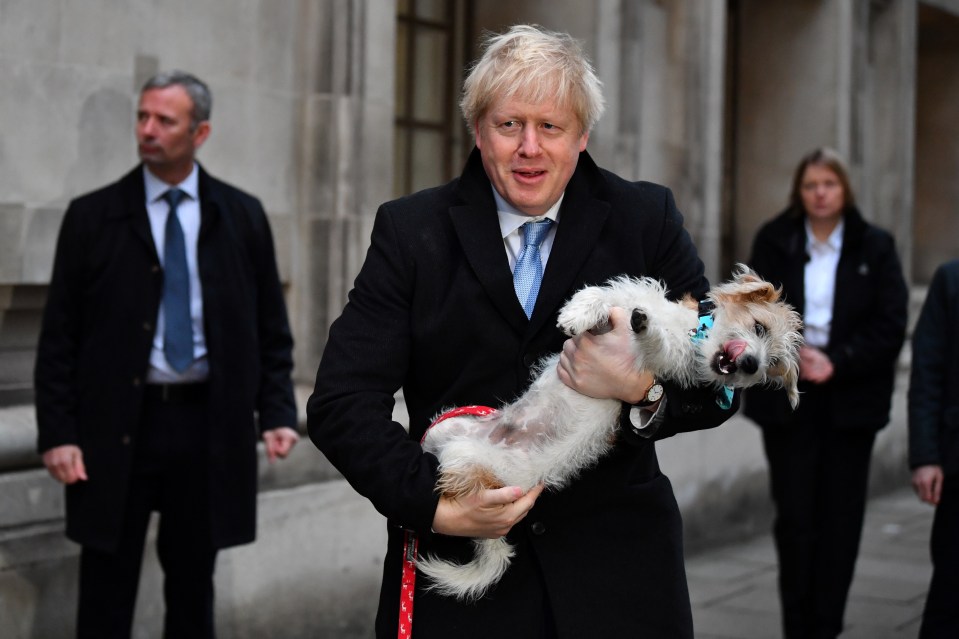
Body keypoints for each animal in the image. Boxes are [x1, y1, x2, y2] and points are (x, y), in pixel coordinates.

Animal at [420, 264, 804, 600]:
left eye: (771, 365)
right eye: (760, 328)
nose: (751, 365)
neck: (690, 332)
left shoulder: (665, 364)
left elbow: (657, 344)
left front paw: (646, 328)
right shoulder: (625, 298)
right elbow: (598, 293)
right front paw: (578, 313)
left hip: (465, 460)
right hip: (445, 426)